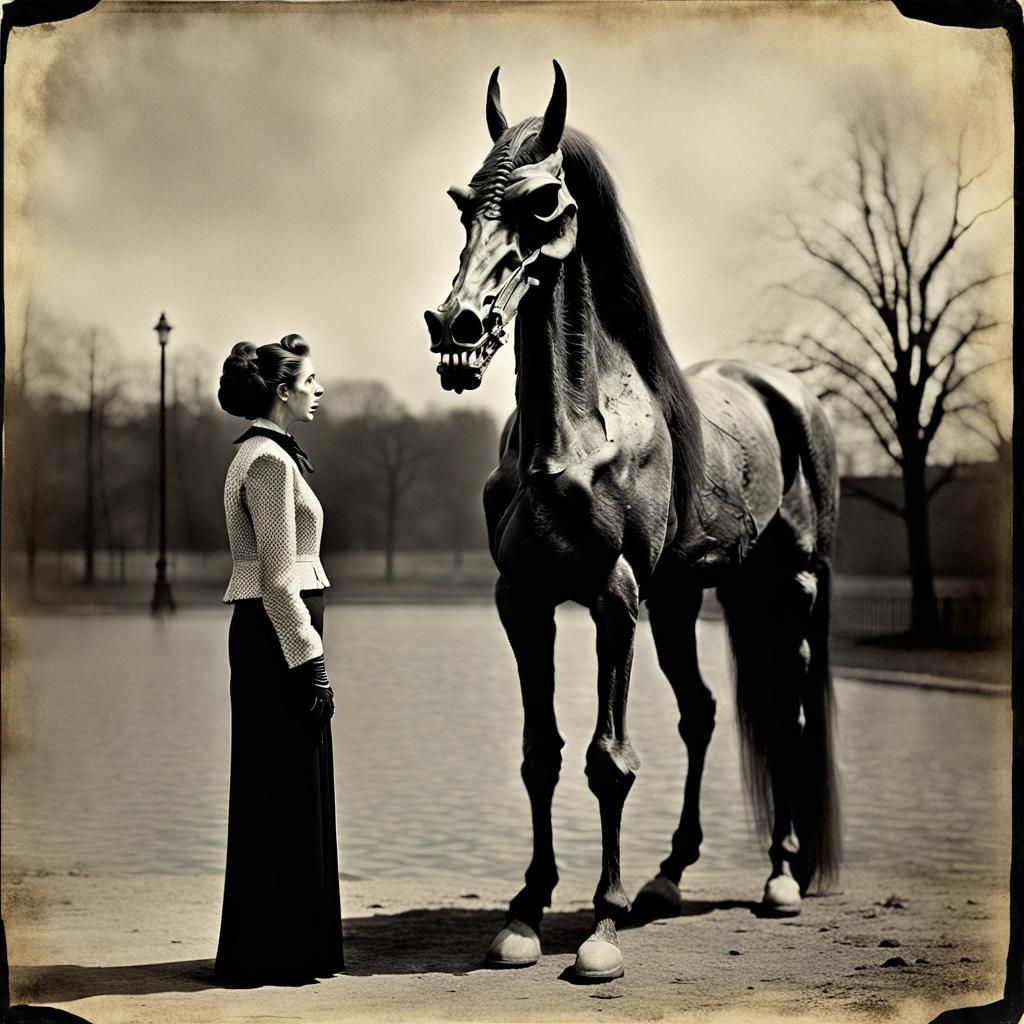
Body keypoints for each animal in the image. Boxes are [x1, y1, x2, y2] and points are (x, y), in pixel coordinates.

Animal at [423, 61, 841, 981]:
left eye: (546, 202)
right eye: (464, 202)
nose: (457, 323)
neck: (574, 434)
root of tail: (788, 391)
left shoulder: (614, 598)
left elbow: (607, 762)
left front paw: (601, 930)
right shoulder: (525, 600)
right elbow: (541, 753)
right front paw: (526, 912)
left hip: (790, 584)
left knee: (787, 713)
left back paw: (781, 875)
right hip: (687, 601)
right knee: (705, 713)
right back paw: (669, 877)